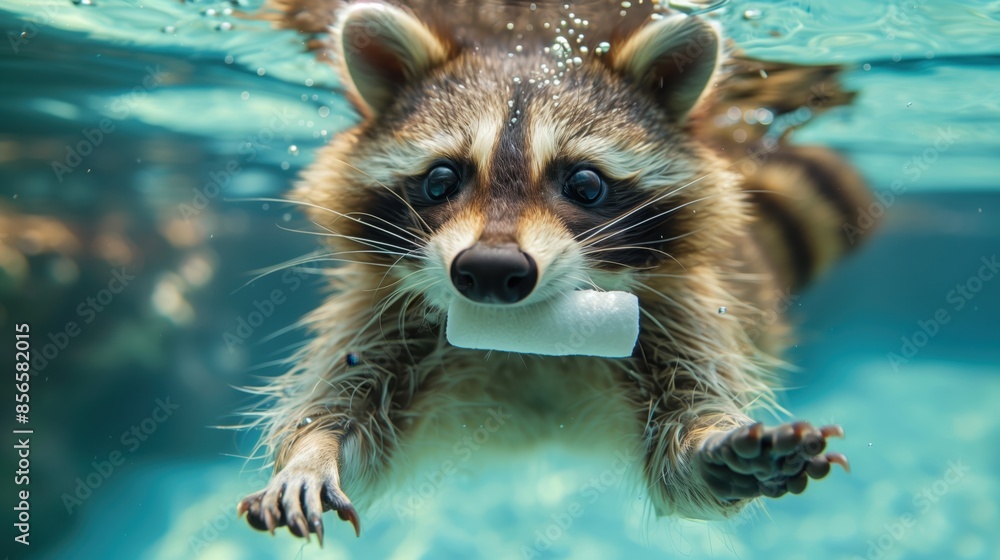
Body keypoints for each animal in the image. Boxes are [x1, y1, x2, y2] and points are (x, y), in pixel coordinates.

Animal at [237, 0, 873, 544]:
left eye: (585, 184)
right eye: (441, 179)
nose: (491, 271)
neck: (526, 341)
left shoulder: (681, 315)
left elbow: (682, 454)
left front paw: (706, 442)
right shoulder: (380, 314)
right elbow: (342, 404)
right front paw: (314, 450)